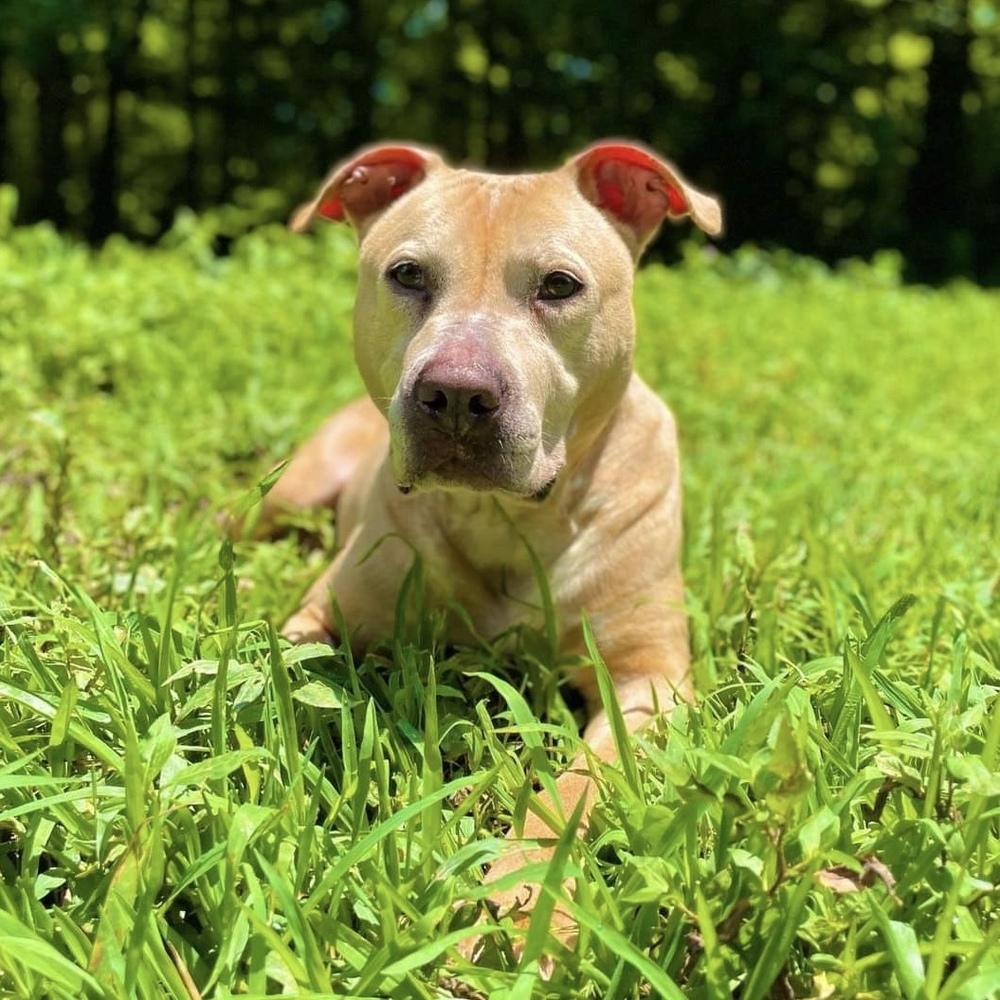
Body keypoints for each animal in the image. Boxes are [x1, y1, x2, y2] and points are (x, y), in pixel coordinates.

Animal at [260, 141, 720, 952]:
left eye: (559, 286)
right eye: (407, 275)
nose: (454, 394)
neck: (504, 518)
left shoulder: (649, 682)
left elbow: (575, 787)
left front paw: (525, 896)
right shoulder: (322, 616)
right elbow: (291, 681)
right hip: (291, 491)